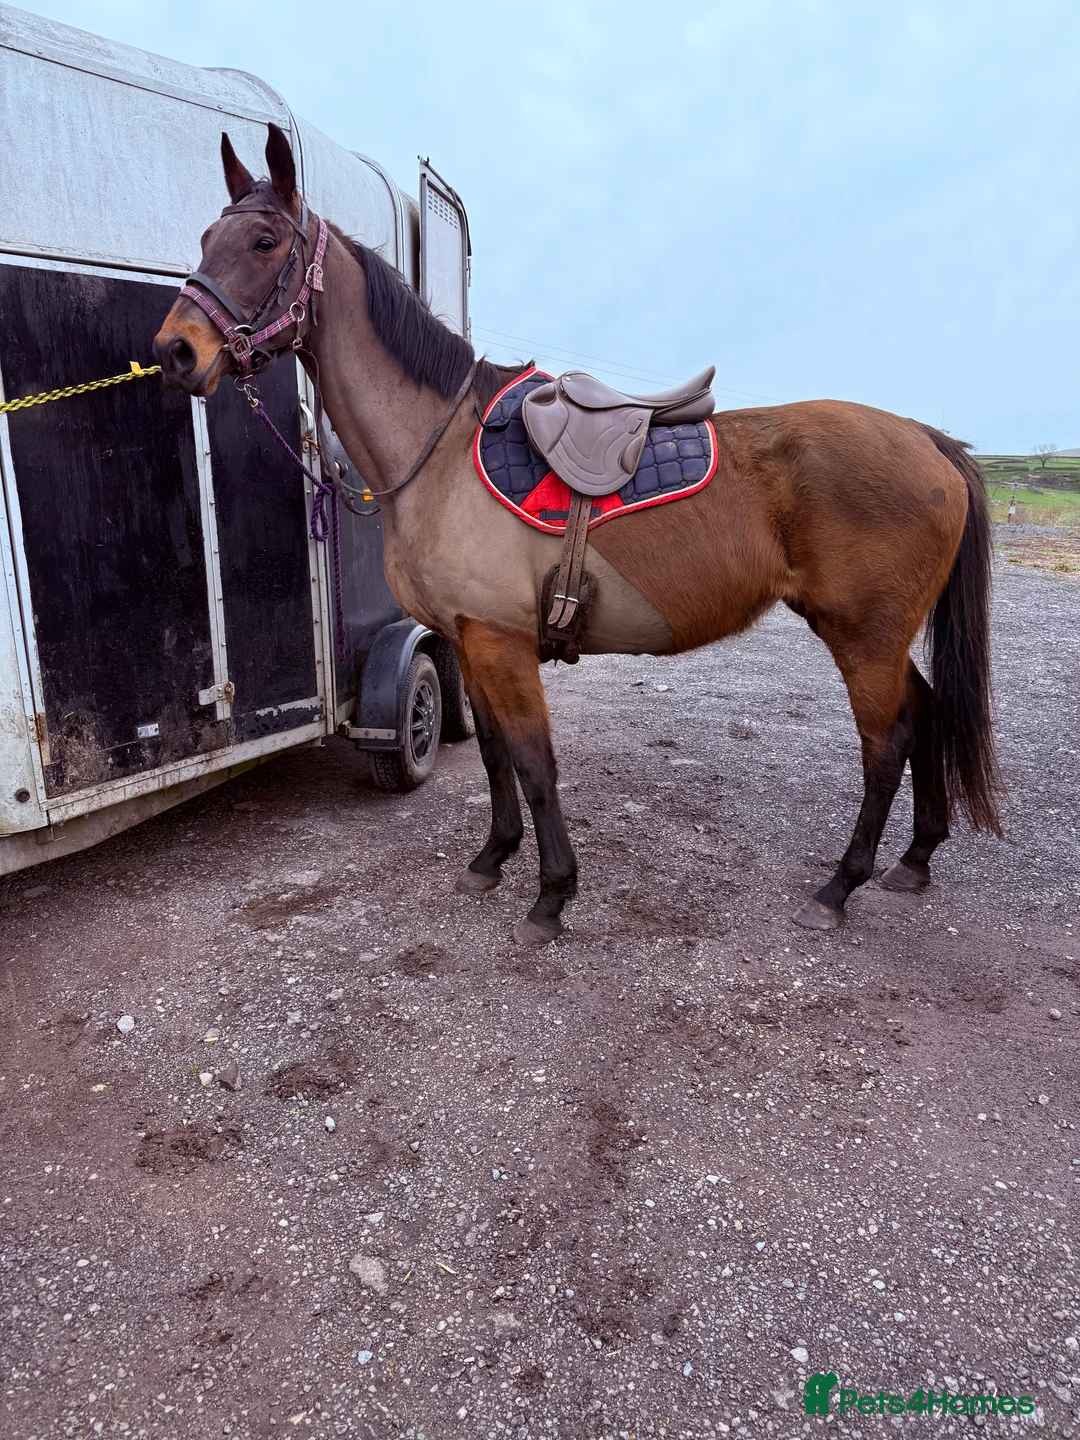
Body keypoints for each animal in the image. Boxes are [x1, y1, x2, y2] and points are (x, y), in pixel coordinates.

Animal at [153, 123, 1001, 945]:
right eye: (205, 236)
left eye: (265, 242)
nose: (175, 351)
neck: (440, 448)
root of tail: (929, 440)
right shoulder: (469, 639)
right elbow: (496, 756)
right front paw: (492, 859)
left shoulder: (501, 641)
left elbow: (536, 765)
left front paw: (552, 894)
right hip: (876, 635)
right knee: (926, 717)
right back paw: (915, 860)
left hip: (863, 635)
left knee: (887, 743)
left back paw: (839, 887)